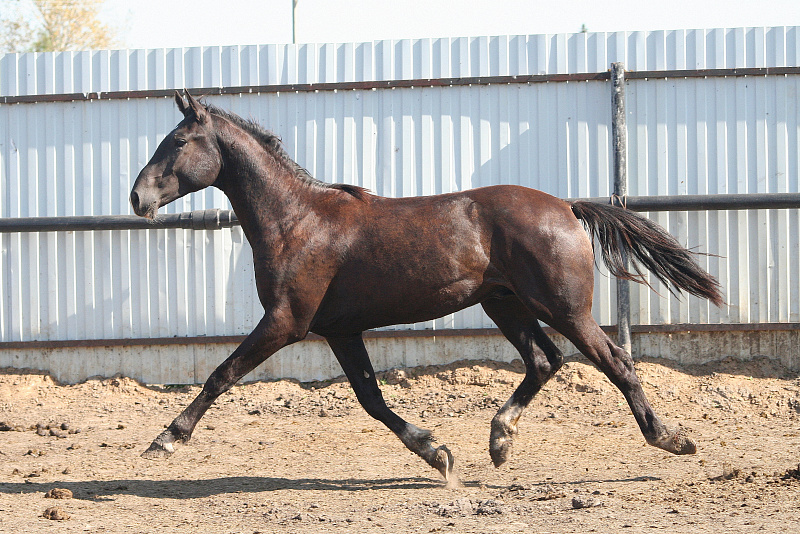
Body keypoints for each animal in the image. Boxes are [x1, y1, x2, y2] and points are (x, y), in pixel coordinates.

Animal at [130, 91, 722, 480]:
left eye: (179, 141)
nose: (138, 198)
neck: (297, 220)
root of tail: (567, 206)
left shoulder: (286, 322)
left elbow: (221, 374)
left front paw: (166, 439)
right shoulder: (340, 330)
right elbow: (370, 398)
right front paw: (437, 453)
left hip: (564, 308)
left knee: (614, 362)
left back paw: (671, 439)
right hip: (505, 303)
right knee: (544, 360)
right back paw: (499, 441)